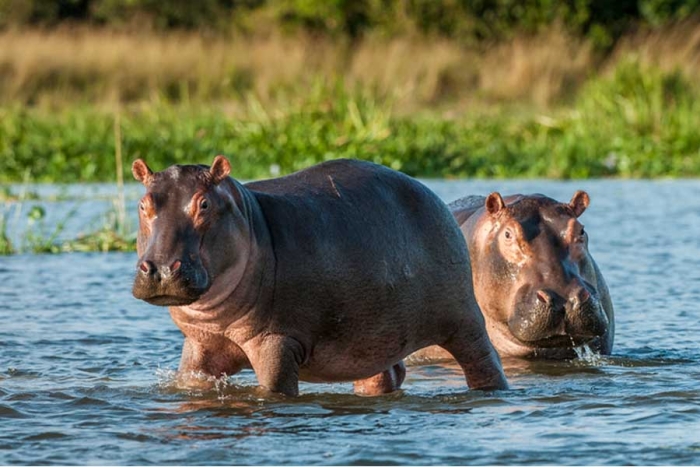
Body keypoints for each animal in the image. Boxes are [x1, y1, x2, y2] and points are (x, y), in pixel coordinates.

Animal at [130, 156, 508, 394]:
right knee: (384, 374)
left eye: (204, 204)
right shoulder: (200, 344)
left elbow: (275, 390)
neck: (249, 218)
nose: (160, 268)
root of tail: (434, 197)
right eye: (143, 204)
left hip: (464, 320)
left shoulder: (277, 341)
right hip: (372, 337)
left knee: (483, 361)